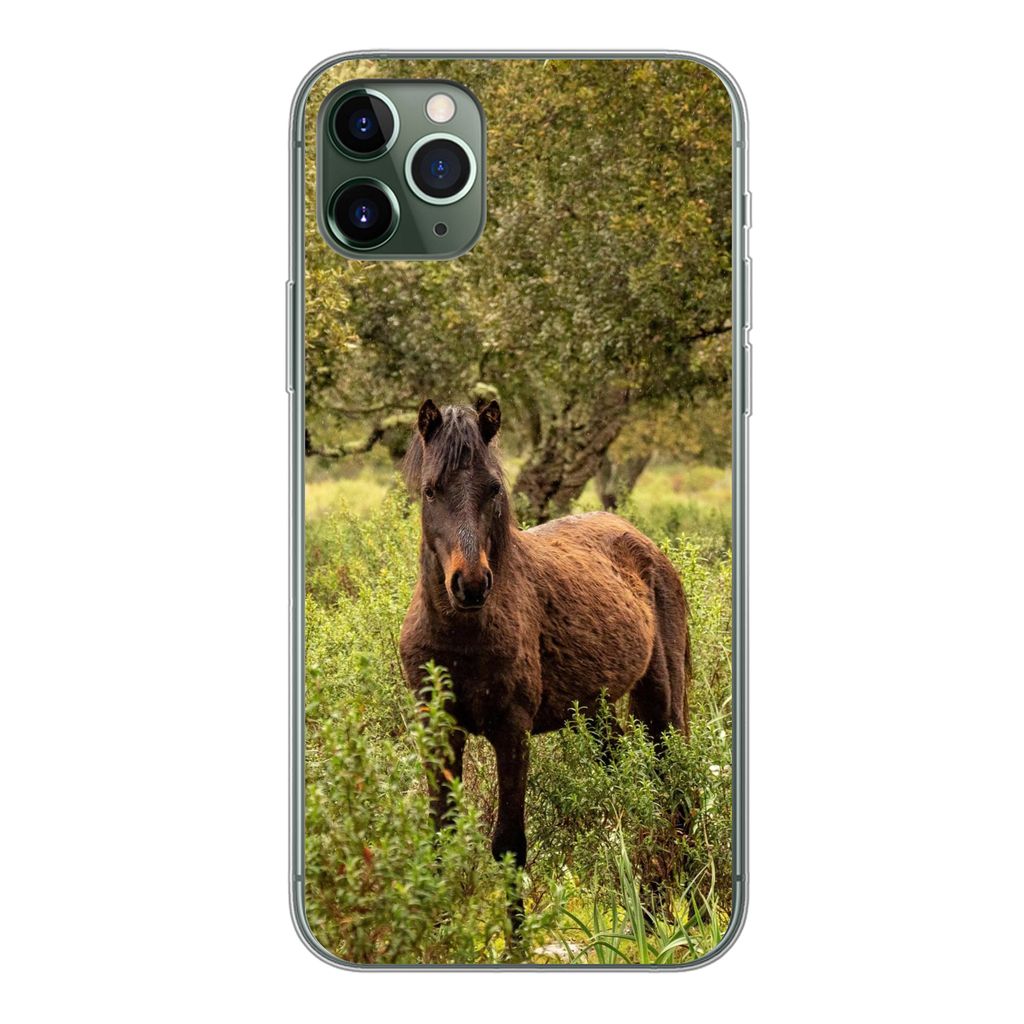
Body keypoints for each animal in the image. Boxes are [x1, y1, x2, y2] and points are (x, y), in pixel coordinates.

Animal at [398, 398, 692, 910]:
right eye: (430, 490)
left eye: (494, 487)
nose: (470, 585)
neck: (460, 636)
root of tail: (647, 545)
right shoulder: (438, 729)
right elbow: (439, 836)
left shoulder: (512, 731)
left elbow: (509, 846)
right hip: (596, 715)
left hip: (662, 706)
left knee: (675, 792)